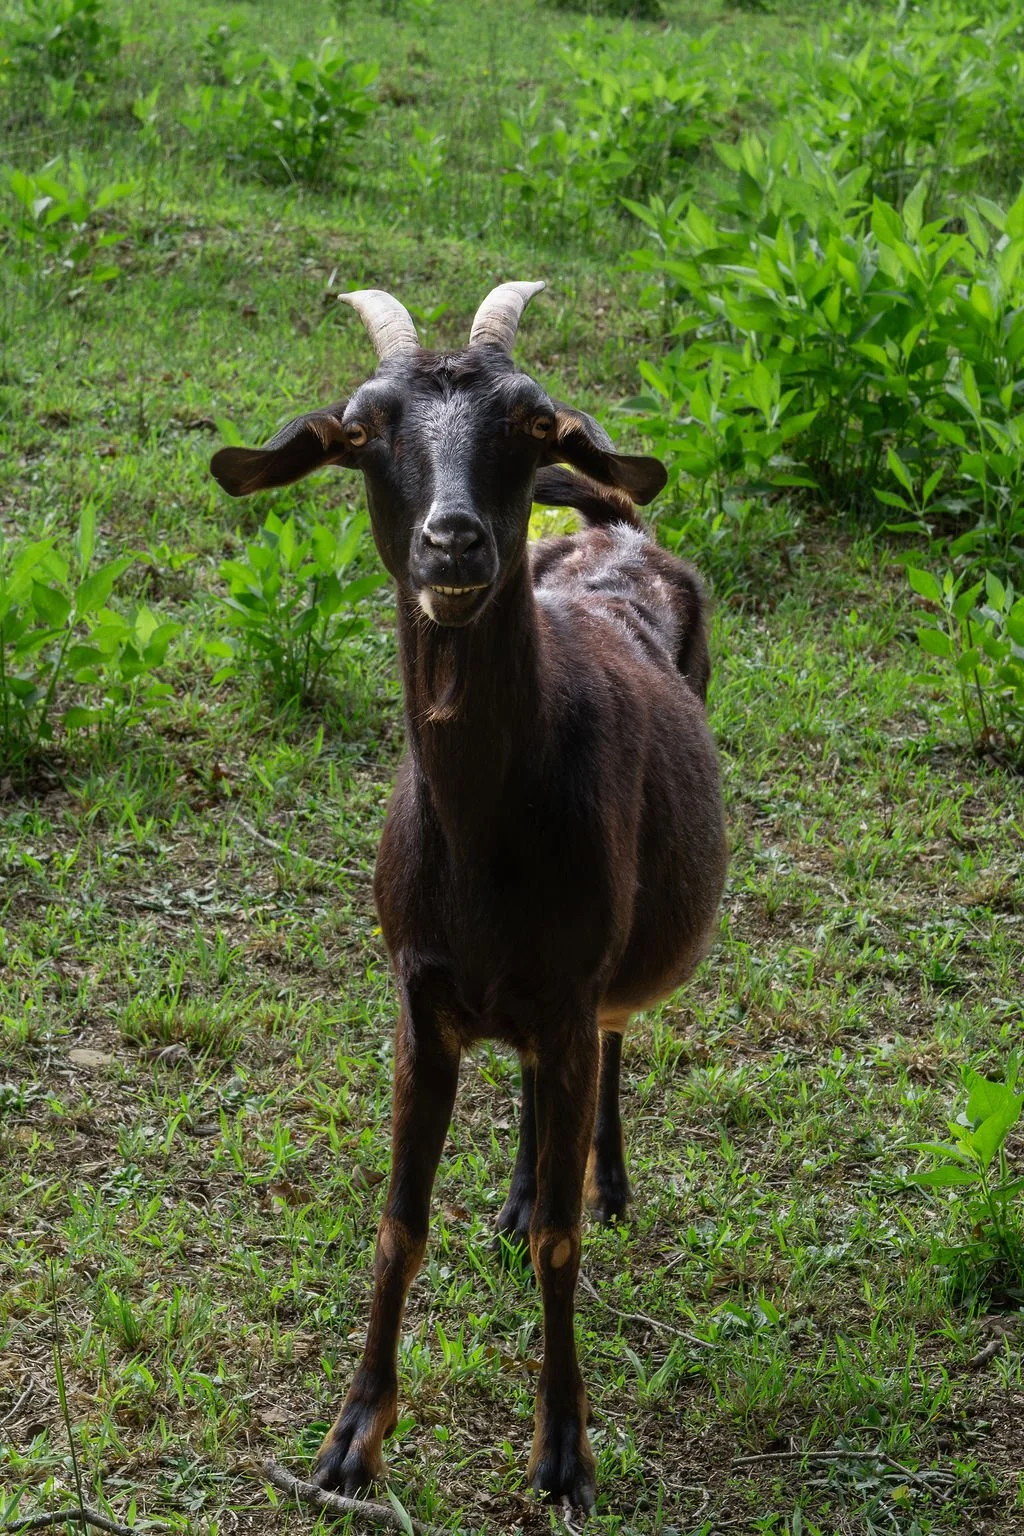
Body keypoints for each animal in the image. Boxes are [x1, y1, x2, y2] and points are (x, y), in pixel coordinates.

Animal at [210, 282, 727, 1511]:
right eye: (362, 431)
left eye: (532, 424)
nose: (454, 540)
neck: (492, 836)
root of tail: (621, 531)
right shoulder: (420, 1001)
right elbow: (399, 1222)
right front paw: (353, 1439)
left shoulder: (569, 985)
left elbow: (562, 1247)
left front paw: (564, 1452)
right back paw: (522, 1186)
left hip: (602, 979)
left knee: (610, 1045)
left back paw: (601, 1180)